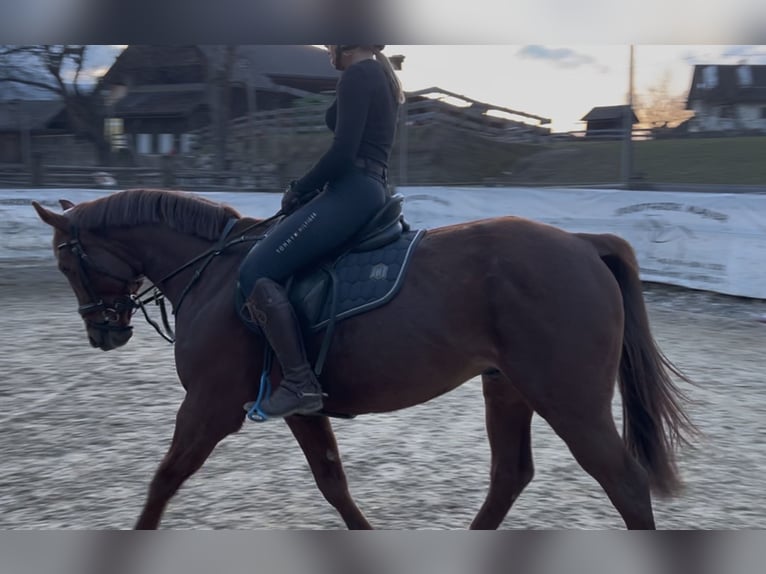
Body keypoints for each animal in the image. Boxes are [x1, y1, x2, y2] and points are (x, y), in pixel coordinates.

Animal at [32, 188, 696, 529]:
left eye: (67, 261)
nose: (102, 334)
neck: (214, 276)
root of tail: (583, 244)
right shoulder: (299, 406)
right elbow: (333, 482)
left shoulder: (209, 406)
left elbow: (163, 481)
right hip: (507, 387)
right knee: (510, 476)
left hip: (569, 398)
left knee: (624, 483)